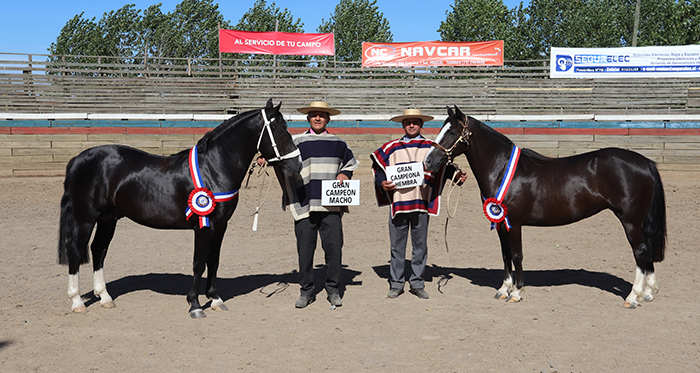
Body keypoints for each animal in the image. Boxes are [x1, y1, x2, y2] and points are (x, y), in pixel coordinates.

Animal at [58, 99, 300, 316]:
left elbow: (214, 261)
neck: (214, 168)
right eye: (280, 131)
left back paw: (105, 298)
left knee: (99, 250)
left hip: (108, 219)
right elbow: (199, 263)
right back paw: (77, 301)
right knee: (76, 250)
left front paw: (215, 299)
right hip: (85, 219)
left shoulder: (220, 226)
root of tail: (77, 159)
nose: (296, 164)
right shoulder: (204, 226)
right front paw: (195, 305)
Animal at [422, 105, 668, 308]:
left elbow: (517, 255)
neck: (501, 168)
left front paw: (516, 292)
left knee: (640, 250)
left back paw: (632, 297)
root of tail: (645, 162)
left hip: (630, 220)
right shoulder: (501, 222)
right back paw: (647, 293)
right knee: (647, 251)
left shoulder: (514, 223)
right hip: (639, 221)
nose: (428, 161)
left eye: (451, 132)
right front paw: (503, 289)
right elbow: (505, 255)